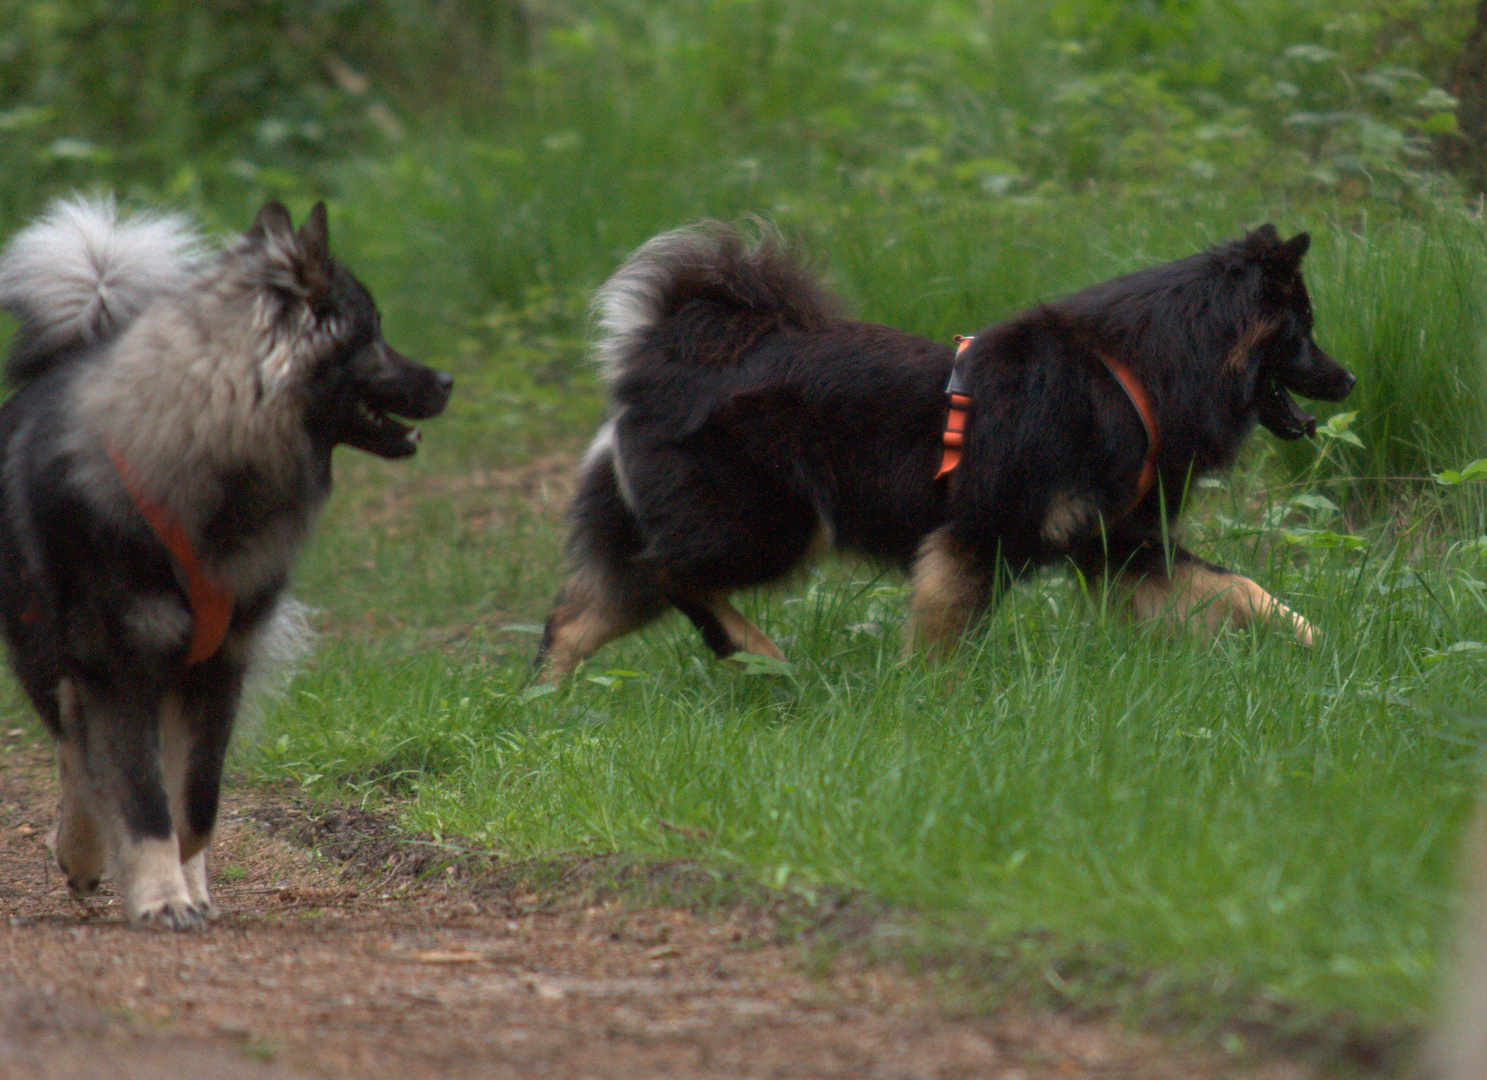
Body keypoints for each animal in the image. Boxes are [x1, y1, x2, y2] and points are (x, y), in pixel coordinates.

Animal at [538, 223, 1362, 681]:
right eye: (1304, 331)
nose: (1350, 378)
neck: (1133, 374)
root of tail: (664, 348)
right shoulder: (977, 537)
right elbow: (941, 637)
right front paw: (927, 706)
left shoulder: (1118, 546)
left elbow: (1243, 590)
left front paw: (1321, 646)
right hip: (769, 527)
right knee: (671, 576)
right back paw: (757, 654)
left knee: (579, 616)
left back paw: (547, 703)